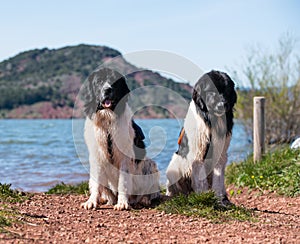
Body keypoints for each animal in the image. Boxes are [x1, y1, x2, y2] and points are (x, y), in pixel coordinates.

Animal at [79, 67, 159, 211]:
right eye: (98, 82)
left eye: (114, 82)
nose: (107, 90)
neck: (107, 119)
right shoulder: (96, 155)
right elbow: (96, 183)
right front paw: (91, 201)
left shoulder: (125, 158)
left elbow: (123, 181)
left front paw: (122, 203)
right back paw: (107, 200)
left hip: (151, 165)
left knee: (150, 191)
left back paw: (144, 200)